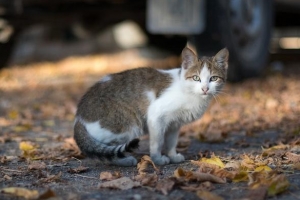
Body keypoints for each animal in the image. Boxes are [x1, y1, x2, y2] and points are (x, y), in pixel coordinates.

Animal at [74, 46, 229, 166]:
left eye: (213, 78)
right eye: (196, 78)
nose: (205, 89)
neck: (189, 92)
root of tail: (79, 117)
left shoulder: (175, 124)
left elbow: (171, 141)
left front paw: (173, 155)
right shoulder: (156, 116)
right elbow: (157, 141)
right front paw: (158, 159)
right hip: (128, 126)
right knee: (108, 150)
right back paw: (124, 160)